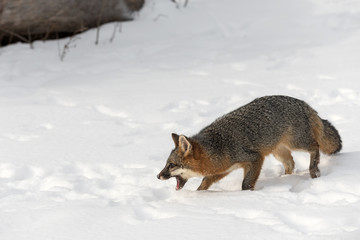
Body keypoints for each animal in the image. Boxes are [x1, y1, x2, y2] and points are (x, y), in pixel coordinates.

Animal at [158, 94, 344, 190]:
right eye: (166, 164)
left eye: (171, 165)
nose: (158, 176)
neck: (219, 146)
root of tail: (303, 103)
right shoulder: (225, 169)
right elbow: (205, 182)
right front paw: (197, 195)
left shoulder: (255, 158)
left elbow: (246, 183)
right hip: (279, 151)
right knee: (291, 163)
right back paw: (285, 178)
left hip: (297, 143)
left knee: (315, 146)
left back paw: (314, 170)